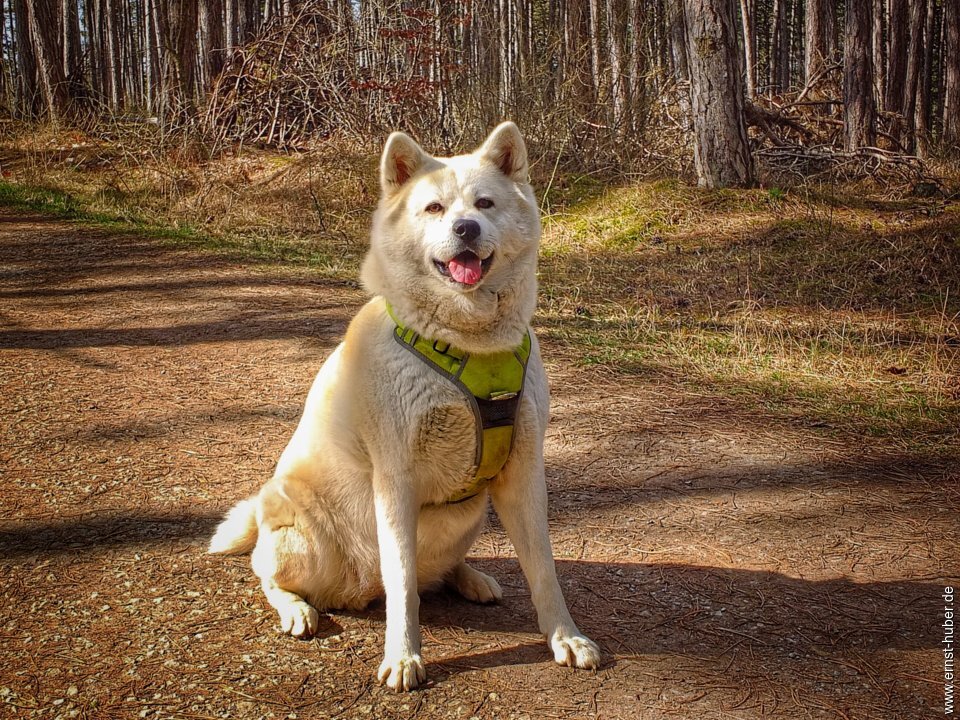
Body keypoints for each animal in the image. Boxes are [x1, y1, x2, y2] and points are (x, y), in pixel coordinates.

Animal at [210, 122, 600, 692]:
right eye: (433, 208)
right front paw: (403, 656)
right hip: (304, 536)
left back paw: (471, 578)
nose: (465, 228)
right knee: (270, 574)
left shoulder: (524, 472)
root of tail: (356, 590)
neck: (467, 344)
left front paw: (565, 637)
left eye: (484, 203)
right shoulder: (395, 477)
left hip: (471, 513)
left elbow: (544, 570)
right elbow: (403, 584)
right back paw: (297, 609)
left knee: (431, 573)